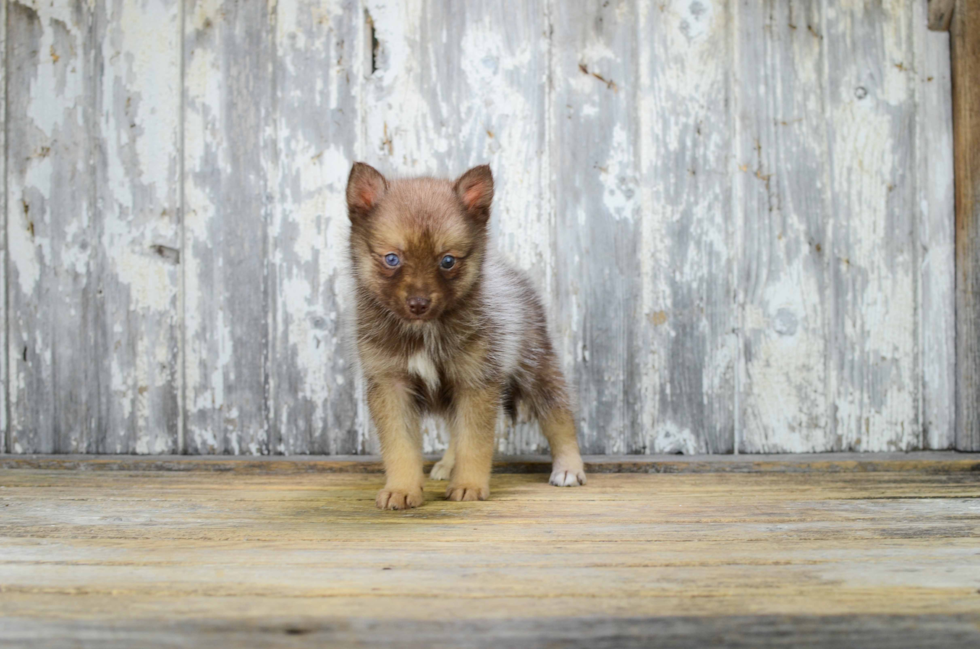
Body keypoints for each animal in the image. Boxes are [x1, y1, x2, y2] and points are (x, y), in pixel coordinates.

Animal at [348, 161, 584, 506]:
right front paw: (402, 489)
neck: (425, 331)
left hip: (536, 365)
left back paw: (569, 467)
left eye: (447, 261)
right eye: (392, 258)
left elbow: (475, 441)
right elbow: (401, 446)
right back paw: (447, 465)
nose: (418, 304)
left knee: (559, 415)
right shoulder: (392, 385)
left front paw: (469, 485)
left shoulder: (476, 382)